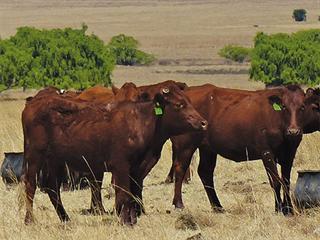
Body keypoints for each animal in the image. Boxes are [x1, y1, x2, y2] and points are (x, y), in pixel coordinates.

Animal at [22, 84, 208, 225]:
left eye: (189, 101)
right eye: (179, 105)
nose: (203, 122)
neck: (140, 122)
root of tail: (33, 104)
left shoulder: (136, 168)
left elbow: (132, 193)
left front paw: (132, 219)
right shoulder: (121, 166)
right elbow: (124, 193)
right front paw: (125, 221)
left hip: (56, 161)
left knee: (52, 188)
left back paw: (65, 218)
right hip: (34, 156)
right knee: (31, 185)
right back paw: (29, 220)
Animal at [169, 84, 306, 216]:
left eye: (302, 107)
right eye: (284, 107)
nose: (293, 131)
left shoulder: (289, 153)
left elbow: (286, 182)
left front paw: (289, 209)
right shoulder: (267, 152)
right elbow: (276, 181)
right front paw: (278, 209)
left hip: (207, 149)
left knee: (205, 172)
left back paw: (218, 207)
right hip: (186, 145)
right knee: (180, 169)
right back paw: (179, 204)